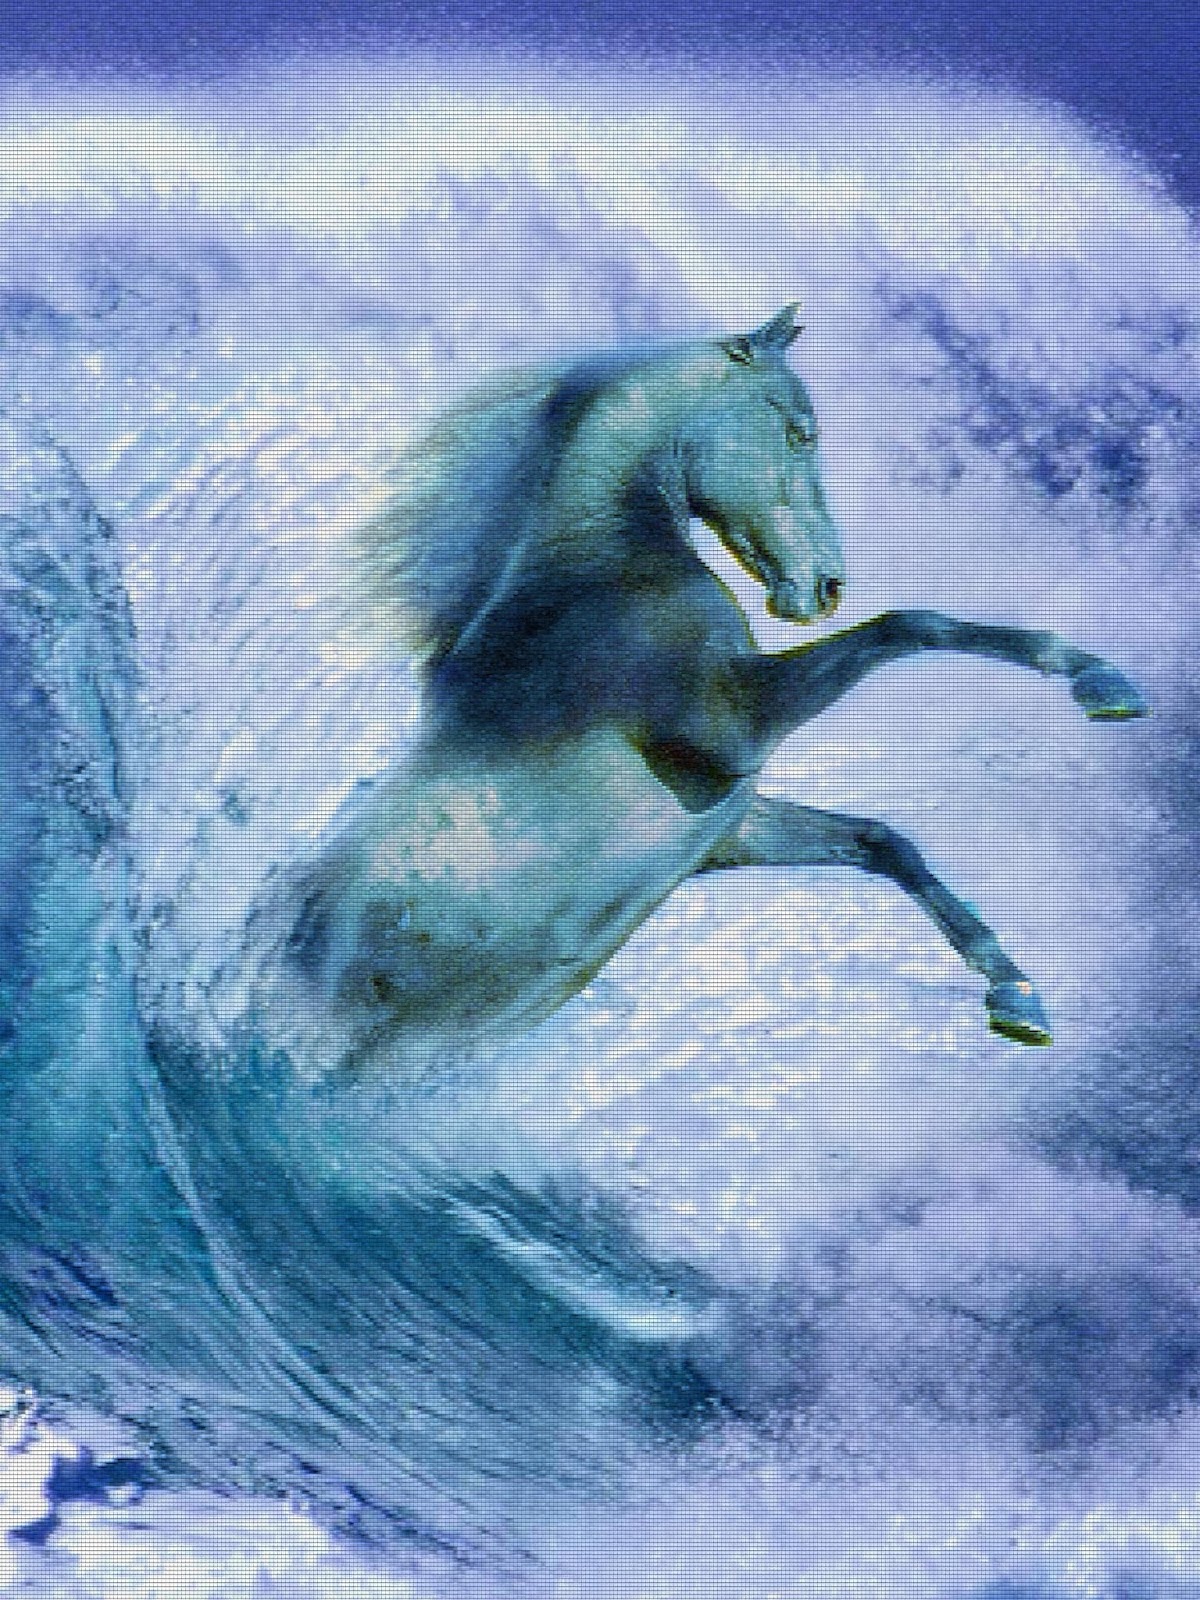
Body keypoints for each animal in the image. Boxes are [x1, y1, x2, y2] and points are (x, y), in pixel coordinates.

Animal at [254, 304, 1148, 1080]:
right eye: (801, 432)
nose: (825, 588)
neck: (596, 571)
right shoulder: (732, 725)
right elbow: (910, 624)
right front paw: (1102, 683)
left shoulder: (725, 825)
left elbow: (882, 841)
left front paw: (1018, 999)